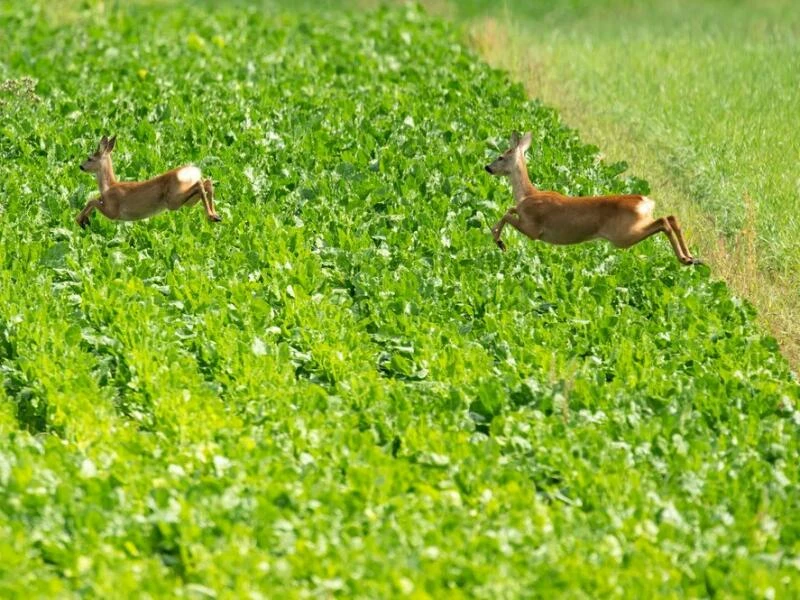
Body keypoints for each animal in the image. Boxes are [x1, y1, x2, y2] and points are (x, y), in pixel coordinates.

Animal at [76, 135, 219, 229]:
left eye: (89, 158)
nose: (81, 166)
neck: (108, 187)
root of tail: (192, 170)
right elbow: (94, 199)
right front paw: (84, 221)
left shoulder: (113, 211)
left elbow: (92, 200)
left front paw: (80, 220)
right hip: (188, 201)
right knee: (207, 183)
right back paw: (216, 216)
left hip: (173, 200)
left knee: (200, 185)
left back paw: (212, 216)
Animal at [482, 132, 700, 266]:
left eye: (501, 156)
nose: (487, 167)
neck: (528, 194)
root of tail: (646, 202)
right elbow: (510, 209)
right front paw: (498, 239)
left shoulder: (534, 229)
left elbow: (507, 214)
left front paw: (499, 241)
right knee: (671, 218)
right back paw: (691, 258)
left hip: (623, 235)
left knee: (664, 221)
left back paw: (685, 259)